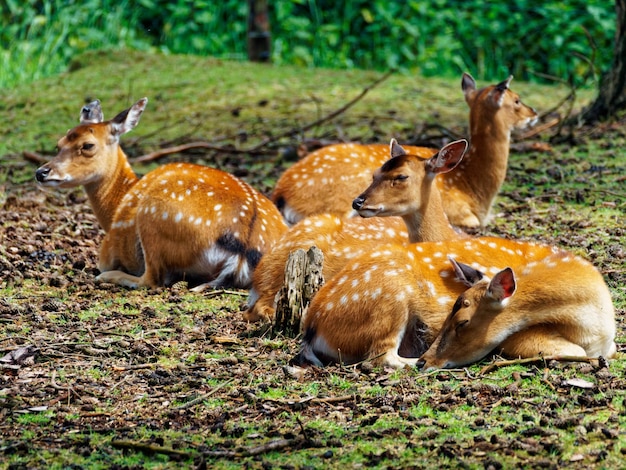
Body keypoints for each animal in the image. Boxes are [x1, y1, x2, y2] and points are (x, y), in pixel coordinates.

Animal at [34, 97, 288, 288]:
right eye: (59, 144)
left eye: (88, 145)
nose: (41, 172)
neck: (115, 207)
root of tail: (242, 252)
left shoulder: (107, 252)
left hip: (153, 217)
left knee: (152, 279)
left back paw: (108, 277)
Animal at [294, 241, 612, 370]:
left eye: (462, 321)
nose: (427, 360)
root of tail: (311, 327)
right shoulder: (516, 339)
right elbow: (573, 352)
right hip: (390, 299)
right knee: (380, 357)